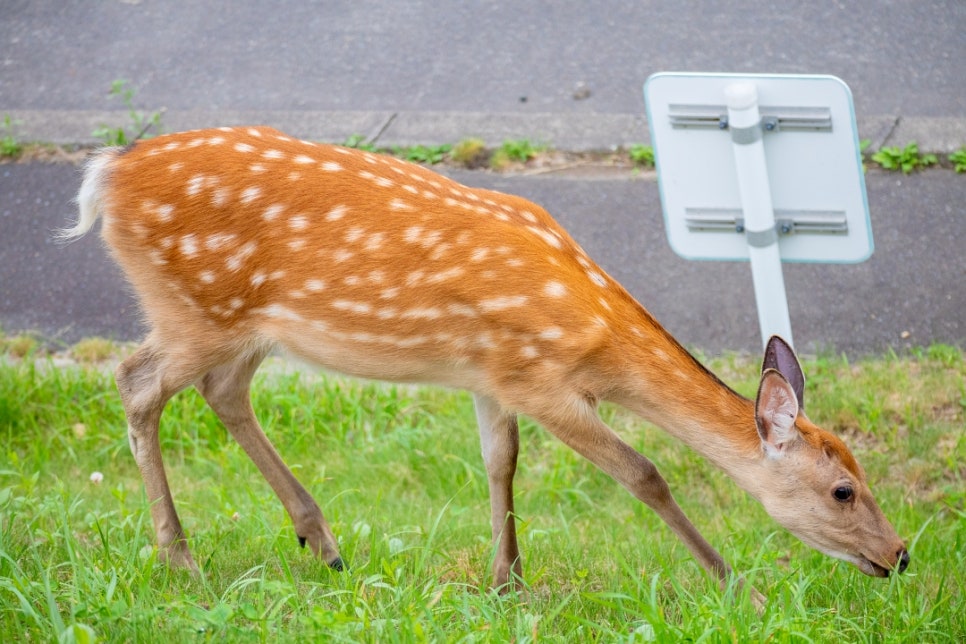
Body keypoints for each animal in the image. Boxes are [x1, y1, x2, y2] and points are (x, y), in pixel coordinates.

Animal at [64, 127, 912, 604]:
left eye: (863, 473)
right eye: (842, 490)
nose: (900, 555)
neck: (596, 335)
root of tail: (105, 176)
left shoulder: (492, 375)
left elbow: (501, 461)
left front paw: (508, 583)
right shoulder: (540, 378)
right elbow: (645, 474)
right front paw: (738, 587)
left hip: (243, 327)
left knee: (221, 390)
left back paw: (323, 542)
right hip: (193, 306)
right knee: (137, 384)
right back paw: (181, 559)